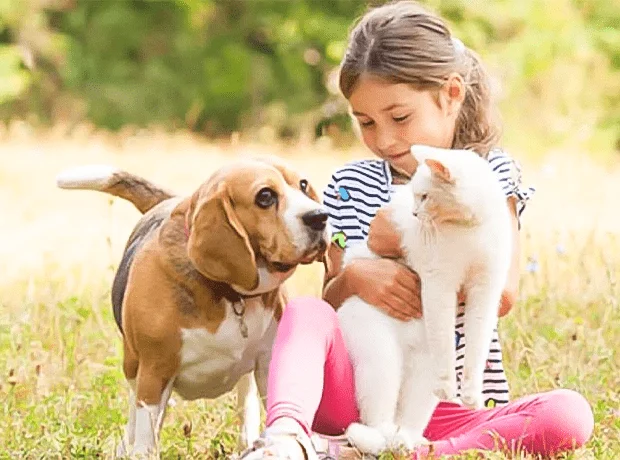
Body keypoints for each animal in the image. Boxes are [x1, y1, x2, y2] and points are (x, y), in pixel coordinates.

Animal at [55, 157, 332, 456]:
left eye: (302, 185)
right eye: (265, 196)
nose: (320, 216)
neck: (230, 294)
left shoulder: (270, 361)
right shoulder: (154, 372)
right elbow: (146, 433)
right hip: (133, 364)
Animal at [340, 146, 512, 454]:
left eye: (424, 196)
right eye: (415, 196)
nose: (414, 213)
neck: (470, 228)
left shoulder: (486, 290)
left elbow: (478, 345)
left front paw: (471, 393)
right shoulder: (438, 285)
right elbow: (444, 337)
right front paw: (449, 387)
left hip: (421, 374)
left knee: (407, 419)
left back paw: (408, 442)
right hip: (381, 359)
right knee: (379, 417)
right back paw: (380, 439)